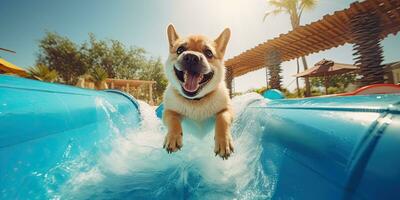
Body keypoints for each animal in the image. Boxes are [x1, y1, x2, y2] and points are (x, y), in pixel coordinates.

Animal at [161, 23, 233, 159]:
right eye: (179, 50)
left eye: (209, 53)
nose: (191, 57)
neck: (195, 101)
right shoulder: (168, 111)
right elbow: (173, 118)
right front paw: (173, 137)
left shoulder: (227, 110)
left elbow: (222, 118)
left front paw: (223, 141)